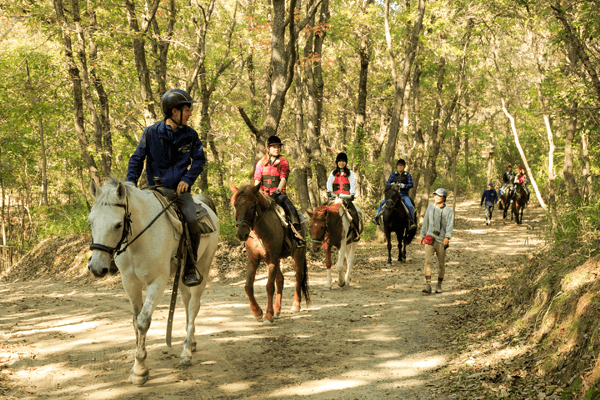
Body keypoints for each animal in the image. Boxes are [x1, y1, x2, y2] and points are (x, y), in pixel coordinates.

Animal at [86, 178, 220, 384]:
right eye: (90, 221)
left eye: (118, 224)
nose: (97, 267)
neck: (139, 239)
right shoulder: (130, 283)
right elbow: (135, 321)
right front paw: (138, 365)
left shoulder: (157, 282)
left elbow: (143, 321)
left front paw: (140, 370)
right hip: (183, 274)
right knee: (186, 300)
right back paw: (192, 342)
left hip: (203, 268)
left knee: (193, 306)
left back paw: (186, 351)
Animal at [226, 183, 308, 326]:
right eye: (235, 205)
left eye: (252, 206)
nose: (241, 234)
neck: (260, 233)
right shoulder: (253, 261)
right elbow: (248, 286)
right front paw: (257, 312)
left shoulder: (272, 260)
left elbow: (269, 287)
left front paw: (268, 316)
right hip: (278, 259)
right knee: (280, 280)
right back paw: (277, 309)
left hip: (298, 254)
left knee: (298, 276)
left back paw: (295, 305)